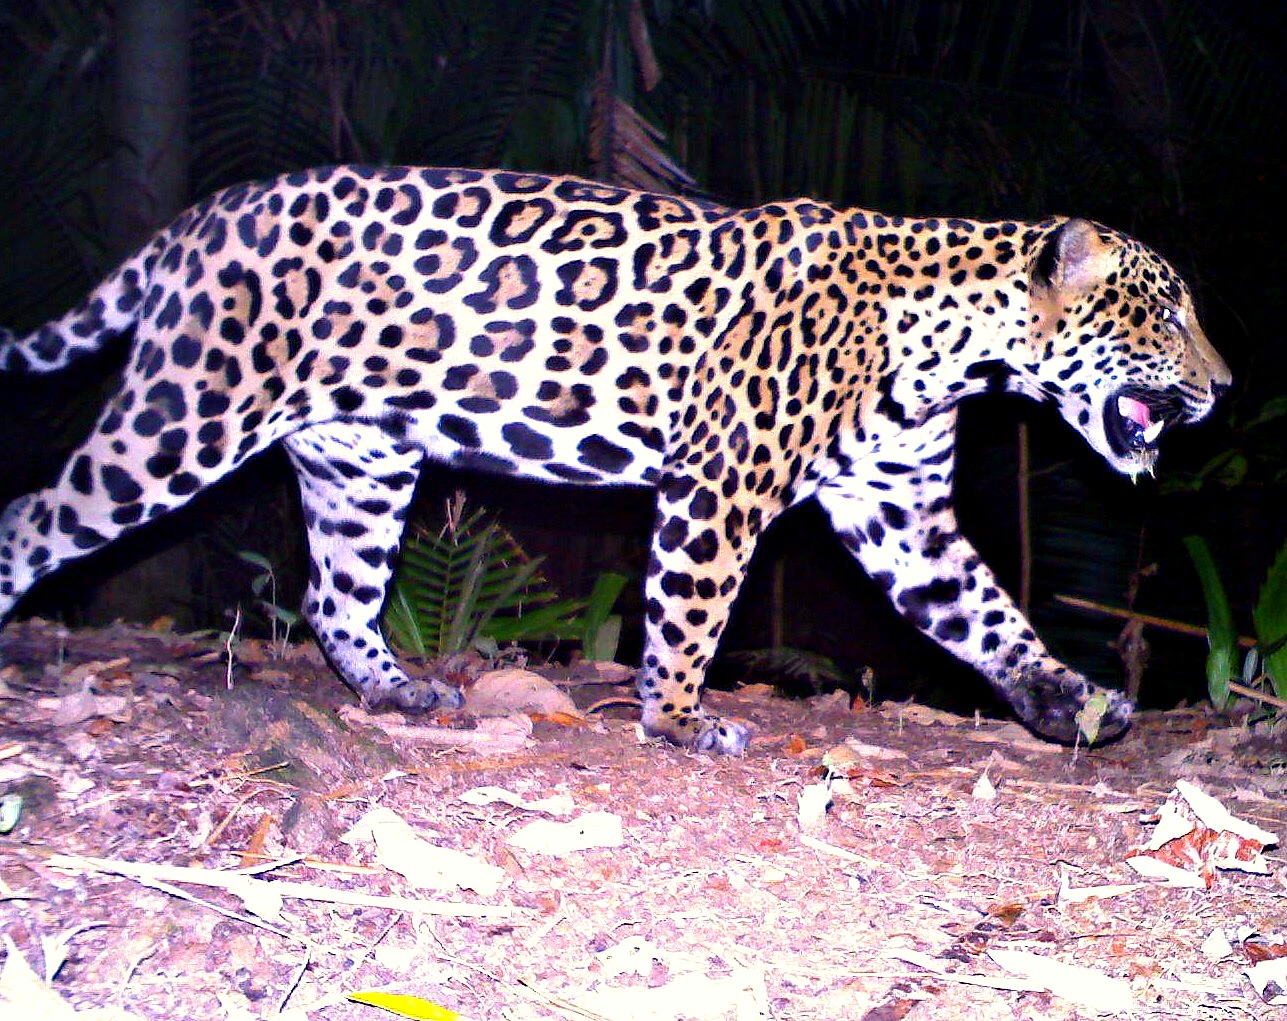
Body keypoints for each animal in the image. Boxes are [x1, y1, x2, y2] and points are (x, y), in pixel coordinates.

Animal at [0, 165, 1230, 754]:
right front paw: (679, 723)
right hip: (184, 417)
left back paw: (401, 692)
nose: (1221, 388)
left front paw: (1074, 703)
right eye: (1167, 315)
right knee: (31, 518)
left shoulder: (902, 509)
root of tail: (201, 217)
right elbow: (688, 615)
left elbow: (986, 615)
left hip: (361, 459)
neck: (957, 347)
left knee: (333, 595)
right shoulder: (722, 487)